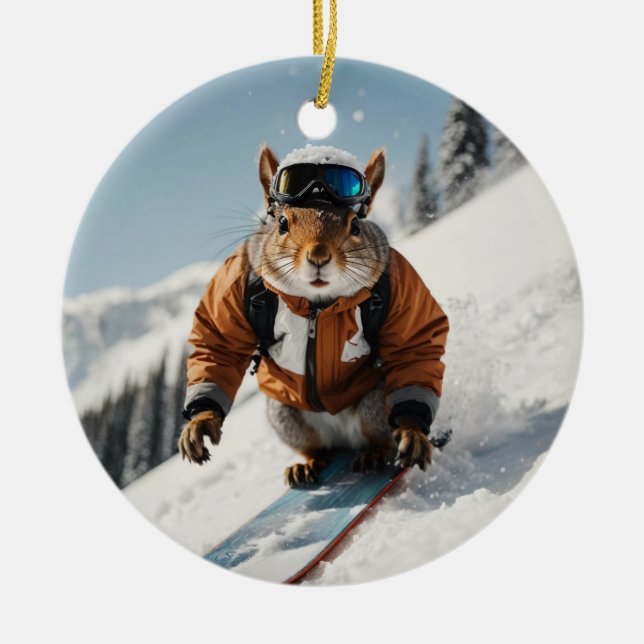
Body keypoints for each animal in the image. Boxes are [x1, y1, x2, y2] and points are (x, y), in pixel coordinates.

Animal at [178, 144, 449, 487]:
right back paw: (306, 466)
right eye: (282, 223)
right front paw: (200, 422)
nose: (318, 256)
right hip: (287, 419)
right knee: (317, 448)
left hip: (375, 404)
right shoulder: (235, 277)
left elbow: (416, 343)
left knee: (379, 437)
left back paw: (375, 454)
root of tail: (342, 437)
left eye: (355, 225)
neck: (315, 306)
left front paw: (413, 433)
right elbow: (219, 343)